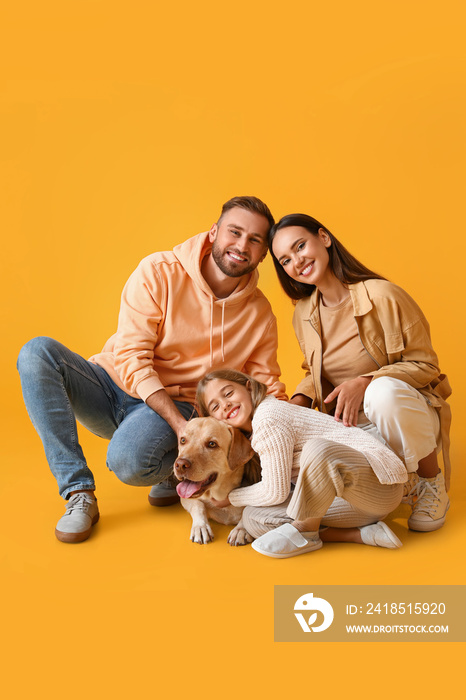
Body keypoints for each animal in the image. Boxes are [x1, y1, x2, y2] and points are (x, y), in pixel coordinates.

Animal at [176, 416, 262, 548]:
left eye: (212, 444)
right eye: (183, 440)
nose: (180, 465)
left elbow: (248, 511)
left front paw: (241, 530)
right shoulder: (185, 498)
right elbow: (198, 505)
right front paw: (200, 527)